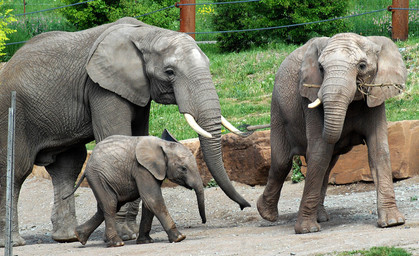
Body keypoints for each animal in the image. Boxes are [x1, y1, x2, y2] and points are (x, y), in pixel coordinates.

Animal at [63, 135, 206, 247]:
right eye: (183, 168)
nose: (203, 222)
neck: (163, 145)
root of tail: (87, 165)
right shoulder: (141, 168)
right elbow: (152, 199)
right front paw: (179, 238)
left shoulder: (152, 170)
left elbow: (149, 203)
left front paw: (145, 241)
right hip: (97, 176)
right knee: (110, 204)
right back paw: (117, 243)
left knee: (108, 206)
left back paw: (80, 236)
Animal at [258, 32, 408, 234]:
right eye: (321, 68)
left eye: (362, 66)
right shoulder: (310, 97)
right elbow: (319, 151)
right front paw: (306, 230)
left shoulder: (376, 95)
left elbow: (379, 150)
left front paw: (393, 222)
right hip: (277, 109)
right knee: (282, 163)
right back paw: (266, 214)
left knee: (327, 165)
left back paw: (320, 217)